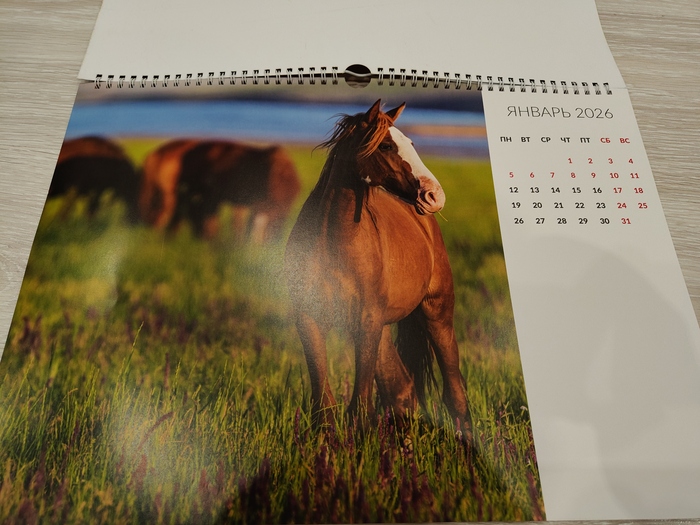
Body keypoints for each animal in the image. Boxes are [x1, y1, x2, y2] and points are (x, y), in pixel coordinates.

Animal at [284, 100, 471, 430]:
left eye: (411, 143)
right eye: (385, 145)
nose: (435, 196)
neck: (332, 244)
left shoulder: (367, 321)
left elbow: (360, 404)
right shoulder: (309, 319)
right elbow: (324, 403)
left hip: (436, 314)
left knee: (454, 393)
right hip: (383, 329)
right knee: (403, 390)